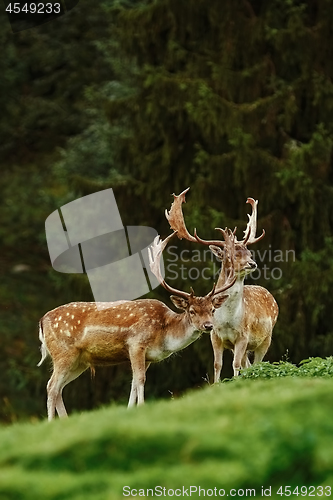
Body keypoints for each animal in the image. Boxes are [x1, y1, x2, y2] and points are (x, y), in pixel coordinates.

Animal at [37, 232, 235, 420]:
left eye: (212, 310)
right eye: (192, 311)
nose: (208, 325)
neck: (163, 333)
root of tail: (42, 322)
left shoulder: (148, 357)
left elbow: (133, 383)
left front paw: (130, 410)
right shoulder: (136, 344)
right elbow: (140, 379)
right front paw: (141, 407)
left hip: (80, 361)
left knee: (59, 388)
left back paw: (64, 420)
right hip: (64, 352)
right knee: (51, 386)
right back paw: (51, 422)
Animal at [165, 188, 278, 378]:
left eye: (249, 252)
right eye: (230, 255)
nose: (252, 264)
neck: (227, 319)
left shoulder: (243, 335)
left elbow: (235, 364)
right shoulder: (215, 336)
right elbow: (217, 364)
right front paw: (216, 383)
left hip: (266, 338)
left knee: (256, 363)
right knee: (248, 364)